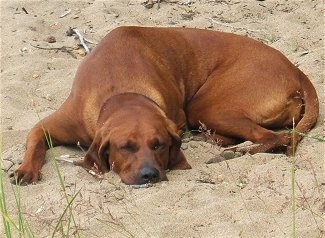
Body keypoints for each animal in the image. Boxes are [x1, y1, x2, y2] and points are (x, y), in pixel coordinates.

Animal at [12, 27, 316, 185]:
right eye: (125, 147)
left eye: (159, 145)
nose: (150, 175)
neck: (121, 90)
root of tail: (296, 70)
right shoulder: (49, 125)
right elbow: (35, 141)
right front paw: (25, 170)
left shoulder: (177, 119)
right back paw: (218, 141)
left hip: (205, 107)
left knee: (274, 138)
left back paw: (234, 152)